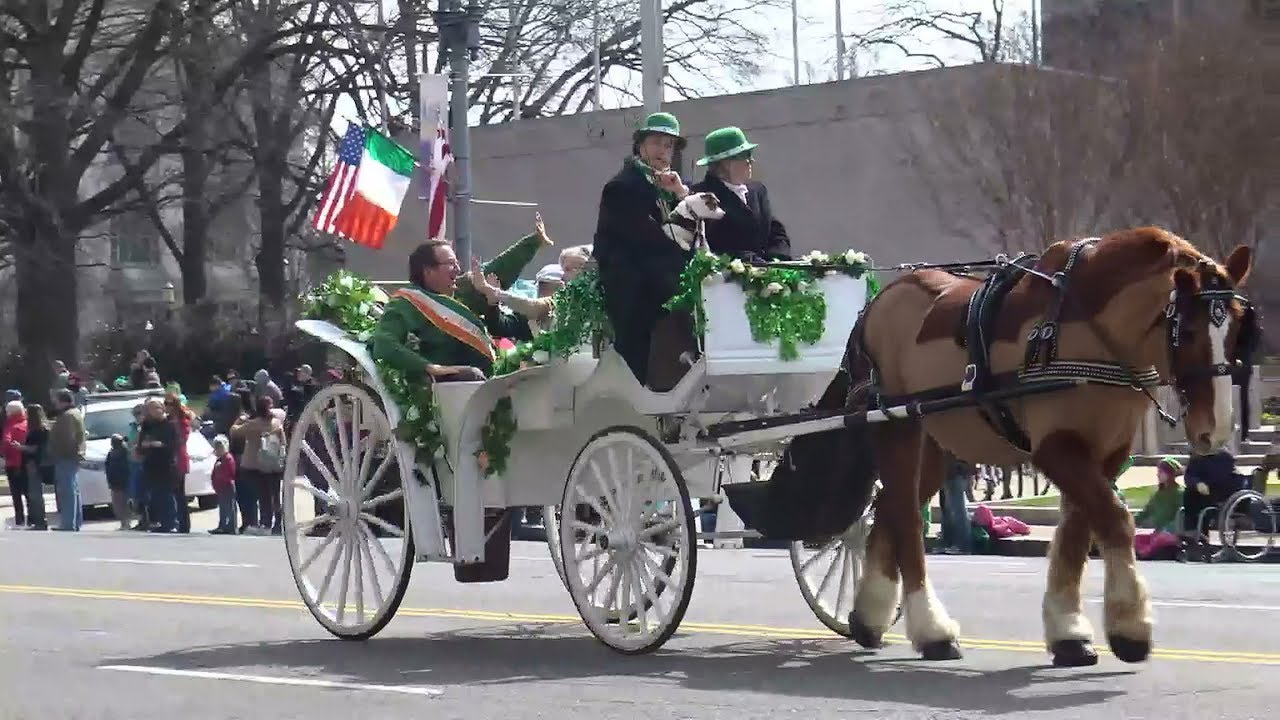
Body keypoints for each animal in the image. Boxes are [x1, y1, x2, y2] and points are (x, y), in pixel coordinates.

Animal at [844, 226, 1254, 666]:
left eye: (1237, 328)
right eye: (1189, 330)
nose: (1216, 430)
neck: (1092, 331)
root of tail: (878, 303)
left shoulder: (1107, 451)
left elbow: (1078, 529)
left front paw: (1069, 631)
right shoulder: (1055, 448)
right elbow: (1114, 519)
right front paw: (1129, 626)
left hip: (937, 444)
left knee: (889, 507)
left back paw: (868, 617)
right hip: (898, 427)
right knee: (907, 517)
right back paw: (932, 629)